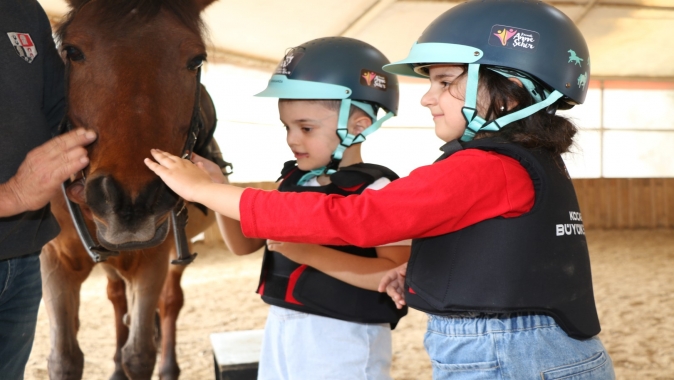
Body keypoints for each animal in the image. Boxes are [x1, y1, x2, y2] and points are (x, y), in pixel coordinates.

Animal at [40, 1, 220, 378]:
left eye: (196, 60)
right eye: (73, 51)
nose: (131, 203)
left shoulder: (152, 260)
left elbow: (138, 355)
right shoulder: (55, 263)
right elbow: (64, 359)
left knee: (170, 303)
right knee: (116, 297)